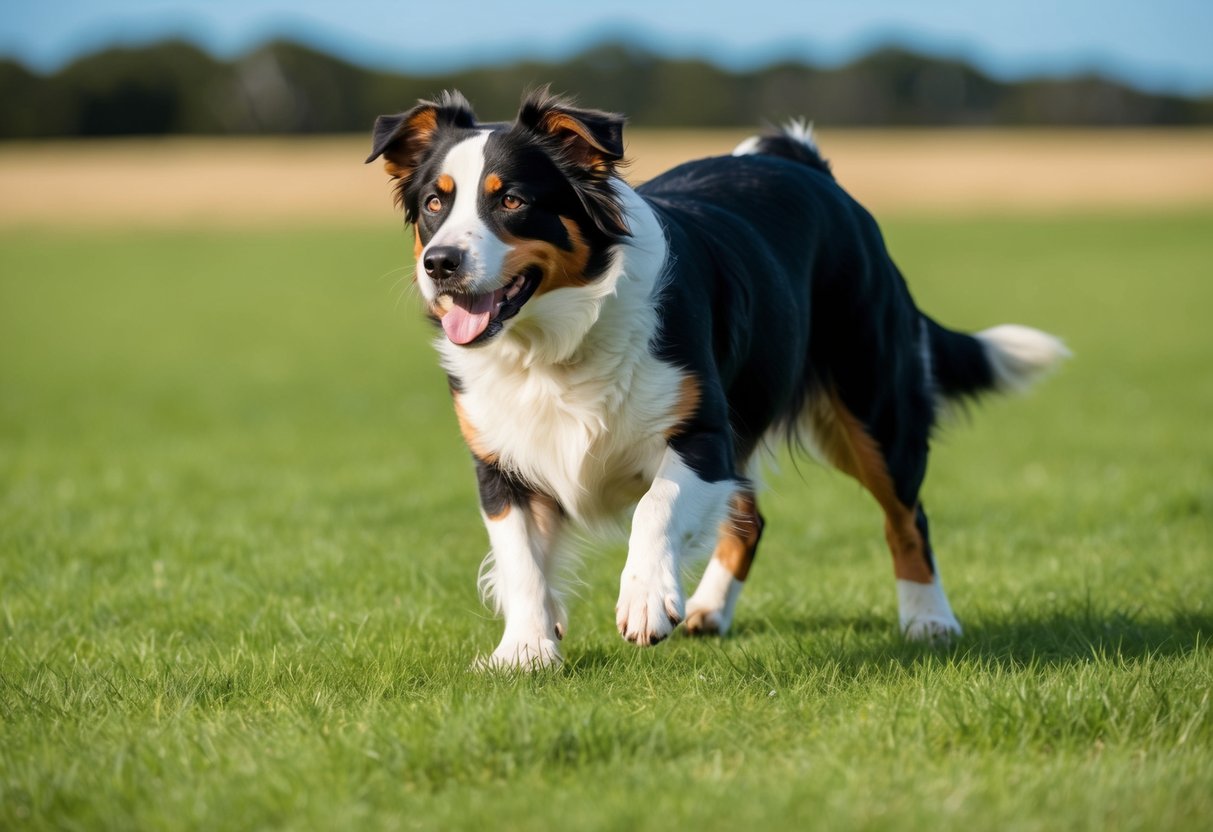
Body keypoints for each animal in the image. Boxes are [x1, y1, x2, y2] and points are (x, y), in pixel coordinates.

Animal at [363, 89, 1067, 669]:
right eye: (434, 203)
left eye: (511, 200)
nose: (440, 263)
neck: (553, 348)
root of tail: (805, 163)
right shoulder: (499, 457)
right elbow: (520, 559)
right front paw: (526, 650)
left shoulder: (702, 432)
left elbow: (656, 507)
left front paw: (645, 601)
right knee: (751, 517)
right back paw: (709, 610)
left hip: (872, 407)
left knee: (906, 515)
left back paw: (929, 620)